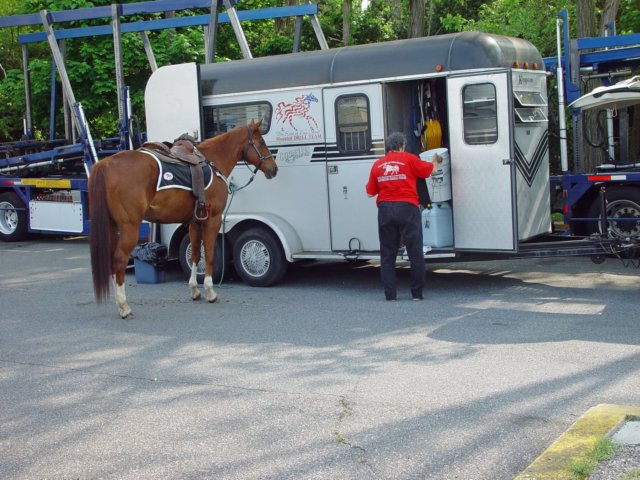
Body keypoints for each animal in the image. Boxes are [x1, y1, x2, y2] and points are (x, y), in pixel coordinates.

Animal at [89, 119, 276, 318]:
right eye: (262, 142)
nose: (274, 168)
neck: (212, 161)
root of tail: (106, 164)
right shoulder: (213, 219)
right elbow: (209, 254)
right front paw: (210, 291)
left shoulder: (195, 222)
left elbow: (196, 254)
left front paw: (194, 290)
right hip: (129, 227)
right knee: (119, 260)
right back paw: (124, 306)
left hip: (111, 226)